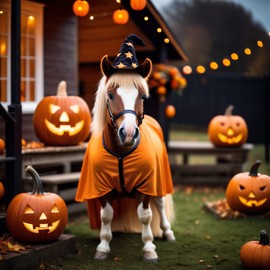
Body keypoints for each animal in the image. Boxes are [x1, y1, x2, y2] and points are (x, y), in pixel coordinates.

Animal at [76, 49, 175, 262]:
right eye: (111, 95)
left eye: (143, 97)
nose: (128, 133)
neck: (120, 152)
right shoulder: (101, 188)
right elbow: (106, 215)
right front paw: (103, 247)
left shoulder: (146, 186)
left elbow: (145, 216)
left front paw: (149, 249)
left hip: (159, 182)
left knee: (160, 203)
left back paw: (167, 232)